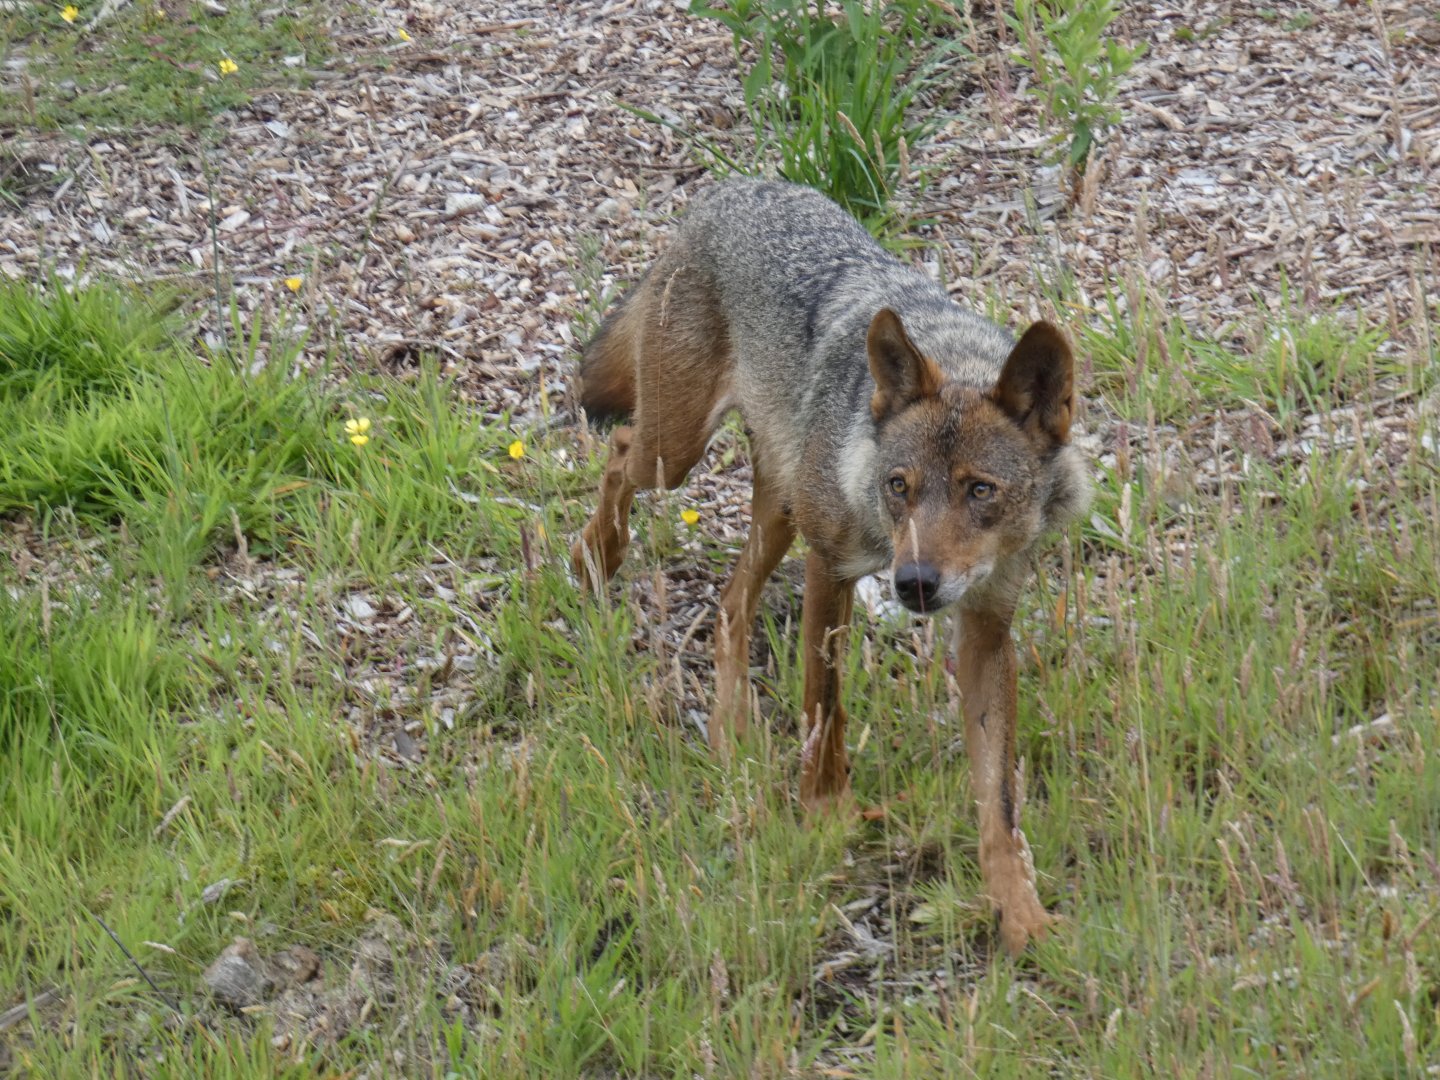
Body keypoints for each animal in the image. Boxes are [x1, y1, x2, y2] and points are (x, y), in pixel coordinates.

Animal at [571, 180, 1090, 953]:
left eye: (980, 491)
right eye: (899, 486)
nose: (914, 584)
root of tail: (733, 189)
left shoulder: (987, 627)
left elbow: (999, 801)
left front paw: (1019, 913)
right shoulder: (832, 567)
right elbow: (826, 706)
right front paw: (826, 815)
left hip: (778, 505)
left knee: (731, 602)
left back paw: (730, 731)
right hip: (678, 456)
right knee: (618, 449)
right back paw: (594, 559)